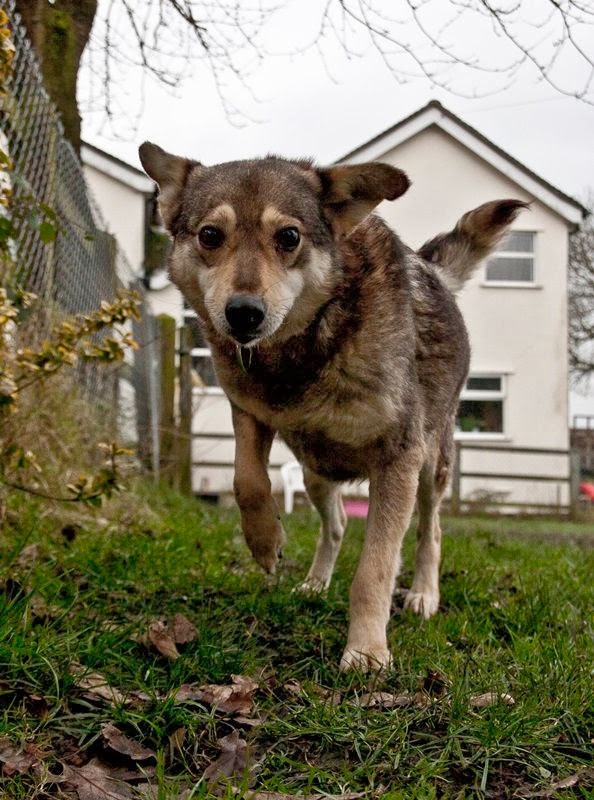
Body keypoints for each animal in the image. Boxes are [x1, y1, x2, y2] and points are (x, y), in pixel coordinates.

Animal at [139, 142, 525, 671]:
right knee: (337, 523)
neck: (307, 344)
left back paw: (423, 595)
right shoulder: (249, 412)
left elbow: (376, 569)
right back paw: (315, 583)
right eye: (210, 235)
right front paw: (265, 543)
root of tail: (432, 270)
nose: (244, 313)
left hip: (430, 468)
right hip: (315, 470)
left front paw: (366, 651)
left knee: (430, 532)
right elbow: (246, 481)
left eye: (288, 236)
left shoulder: (399, 458)